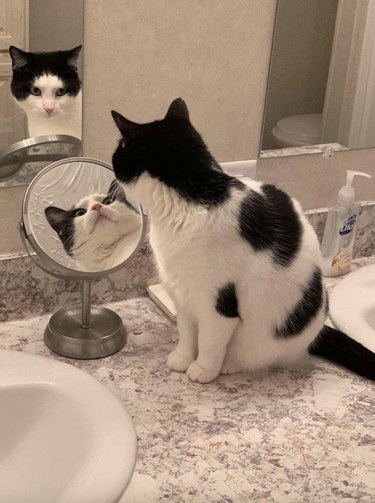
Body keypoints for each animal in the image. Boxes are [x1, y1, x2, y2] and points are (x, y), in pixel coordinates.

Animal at [110, 97, 375, 382]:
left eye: (119, 150)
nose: (111, 159)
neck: (193, 196)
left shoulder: (217, 302)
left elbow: (210, 341)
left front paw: (203, 369)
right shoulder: (181, 292)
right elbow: (187, 331)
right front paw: (182, 357)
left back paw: (229, 364)